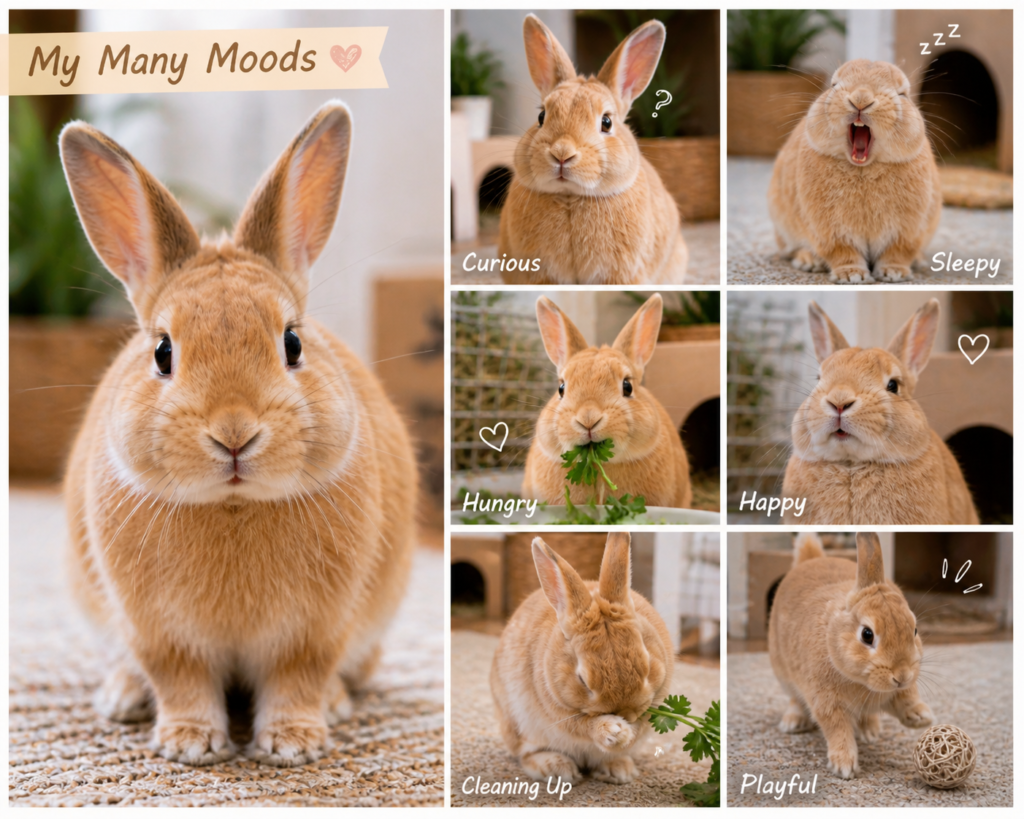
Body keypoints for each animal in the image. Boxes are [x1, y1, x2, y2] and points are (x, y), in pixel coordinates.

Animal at [60, 101, 418, 767]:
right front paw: (190, 744)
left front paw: (293, 744)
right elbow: (181, 682)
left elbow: (298, 678)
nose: (233, 434)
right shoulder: (162, 637)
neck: (233, 505)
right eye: (163, 352)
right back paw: (122, 697)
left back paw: (335, 704)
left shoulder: (312, 633)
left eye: (293, 343)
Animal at [490, 533, 674, 784]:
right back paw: (557, 769)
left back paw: (618, 769)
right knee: (526, 755)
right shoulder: (560, 713)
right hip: (518, 726)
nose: (624, 714)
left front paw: (626, 735)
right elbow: (582, 725)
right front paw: (614, 731)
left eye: (647, 666)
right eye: (583, 680)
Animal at [767, 59, 942, 283]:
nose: (861, 99)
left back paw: (918, 261)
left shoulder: (904, 231)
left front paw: (893, 273)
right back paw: (809, 262)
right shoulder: (833, 232)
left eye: (902, 94)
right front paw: (852, 276)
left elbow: (896, 253)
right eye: (833, 85)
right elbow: (843, 252)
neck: (863, 169)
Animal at [768, 533, 934, 779]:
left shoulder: (898, 692)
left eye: (914, 630)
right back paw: (792, 723)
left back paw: (871, 731)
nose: (902, 677)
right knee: (795, 699)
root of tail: (811, 559)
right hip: (784, 674)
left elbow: (906, 698)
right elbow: (838, 730)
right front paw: (844, 766)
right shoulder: (826, 702)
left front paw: (921, 717)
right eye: (867, 635)